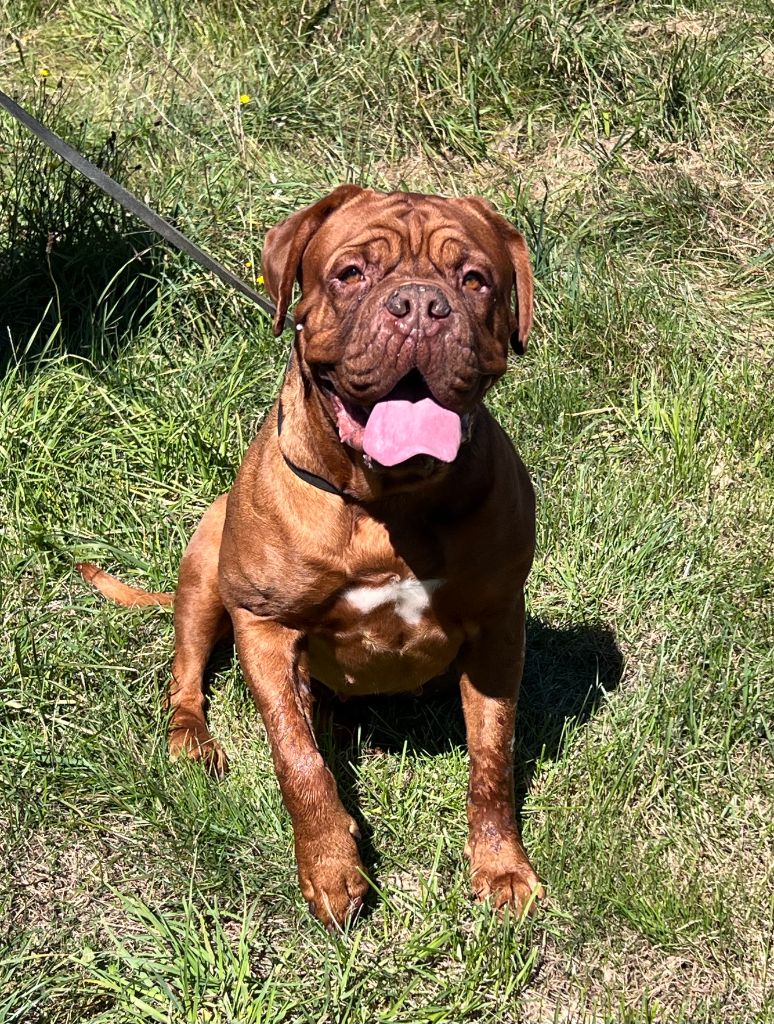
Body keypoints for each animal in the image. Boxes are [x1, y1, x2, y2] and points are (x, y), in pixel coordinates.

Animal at [78, 186, 544, 929]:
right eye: (351, 273)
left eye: (474, 280)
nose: (421, 305)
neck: (388, 502)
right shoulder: (266, 628)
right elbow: (298, 761)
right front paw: (330, 866)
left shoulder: (499, 627)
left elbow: (492, 758)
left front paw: (501, 866)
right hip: (205, 569)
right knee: (189, 674)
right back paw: (191, 738)